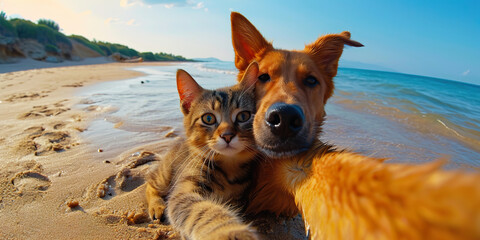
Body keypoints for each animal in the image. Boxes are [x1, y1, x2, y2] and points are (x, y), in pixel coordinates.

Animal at [145, 61, 260, 239]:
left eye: (243, 116)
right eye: (208, 118)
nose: (227, 135)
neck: (229, 168)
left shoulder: (239, 198)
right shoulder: (184, 191)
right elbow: (203, 211)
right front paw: (229, 231)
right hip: (166, 174)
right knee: (149, 182)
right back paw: (156, 205)